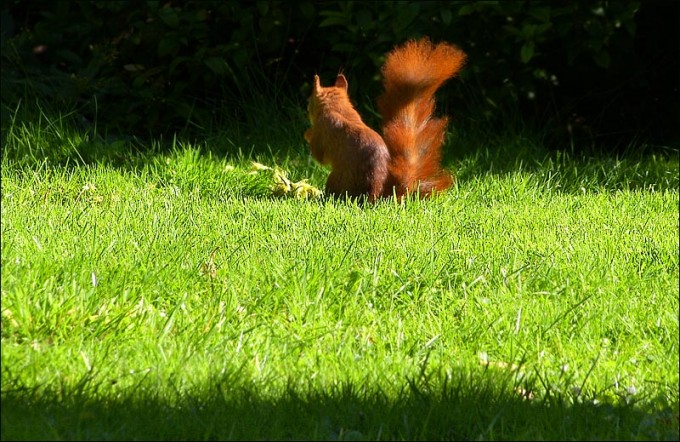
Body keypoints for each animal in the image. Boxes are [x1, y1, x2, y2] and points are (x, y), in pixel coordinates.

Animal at [304, 37, 466, 201]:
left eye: (309, 102)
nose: (307, 109)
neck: (339, 109)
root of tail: (378, 196)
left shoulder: (323, 129)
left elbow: (320, 156)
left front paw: (308, 133)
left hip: (335, 180)